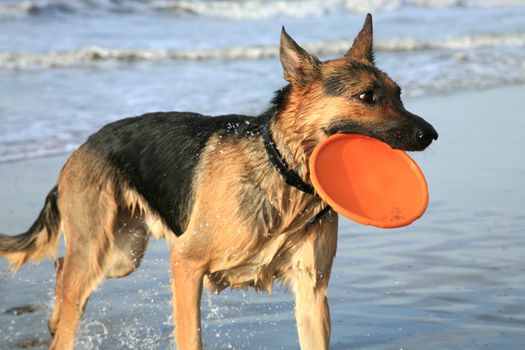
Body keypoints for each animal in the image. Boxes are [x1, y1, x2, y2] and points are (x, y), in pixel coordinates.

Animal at [0, 14, 436, 350]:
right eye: (367, 97)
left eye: (399, 94)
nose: (430, 135)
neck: (285, 178)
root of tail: (81, 147)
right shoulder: (185, 264)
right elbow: (190, 336)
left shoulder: (312, 292)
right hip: (101, 248)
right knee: (69, 286)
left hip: (122, 254)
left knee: (62, 268)